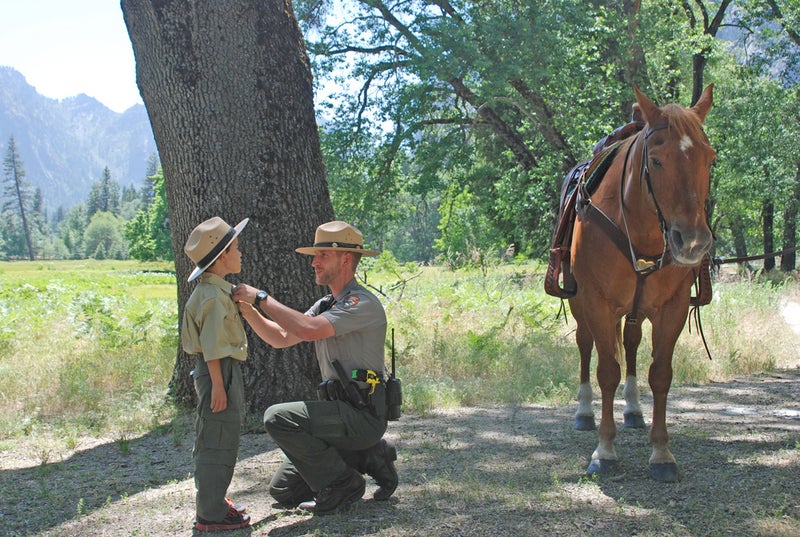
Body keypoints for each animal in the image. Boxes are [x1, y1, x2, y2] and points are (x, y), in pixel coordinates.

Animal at [568, 85, 712, 482]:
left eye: (709, 159)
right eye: (658, 161)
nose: (692, 243)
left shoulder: (672, 308)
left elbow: (660, 374)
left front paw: (662, 453)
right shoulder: (597, 303)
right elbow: (606, 372)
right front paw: (604, 450)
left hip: (635, 310)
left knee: (631, 345)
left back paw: (633, 409)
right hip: (580, 305)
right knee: (585, 346)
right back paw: (584, 413)